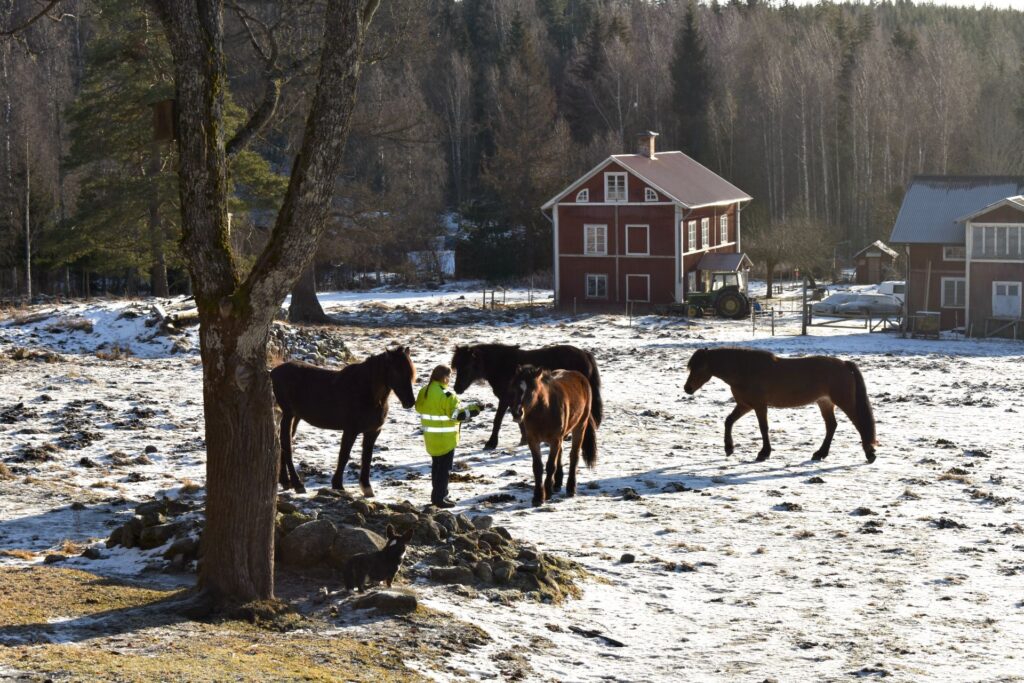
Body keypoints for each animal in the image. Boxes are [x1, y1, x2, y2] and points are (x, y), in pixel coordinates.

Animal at [274, 348, 417, 497]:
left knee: (283, 444)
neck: (367, 393)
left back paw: (285, 481)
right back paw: (297, 484)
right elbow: (344, 456)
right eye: (396, 371)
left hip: (296, 417)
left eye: (410, 372)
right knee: (287, 445)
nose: (409, 402)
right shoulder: (350, 431)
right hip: (288, 415)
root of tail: (274, 371)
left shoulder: (372, 432)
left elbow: (367, 457)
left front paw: (366, 487)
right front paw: (338, 485)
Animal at [448, 342, 598, 448]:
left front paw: (491, 443)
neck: (502, 366)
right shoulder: (514, 401)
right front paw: (524, 440)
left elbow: (498, 420)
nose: (457, 388)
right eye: (457, 367)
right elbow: (519, 421)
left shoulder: (505, 399)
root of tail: (585, 354)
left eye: (467, 366)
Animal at [507, 368, 598, 507]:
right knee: (560, 453)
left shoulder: (555, 439)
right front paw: (538, 497)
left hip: (580, 426)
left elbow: (550, 465)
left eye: (532, 390)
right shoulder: (533, 440)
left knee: (573, 456)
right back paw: (557, 484)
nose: (517, 413)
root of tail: (579, 376)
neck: (544, 411)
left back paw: (570, 488)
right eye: (515, 388)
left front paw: (547, 493)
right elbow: (537, 467)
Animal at [684, 348, 876, 464]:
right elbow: (728, 421)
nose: (687, 388)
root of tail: (844, 364)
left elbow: (763, 428)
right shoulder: (745, 405)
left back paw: (870, 453)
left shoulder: (759, 406)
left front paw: (764, 453)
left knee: (860, 425)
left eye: (700, 367)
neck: (745, 370)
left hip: (845, 402)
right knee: (832, 426)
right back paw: (820, 453)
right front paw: (729, 448)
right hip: (825, 402)